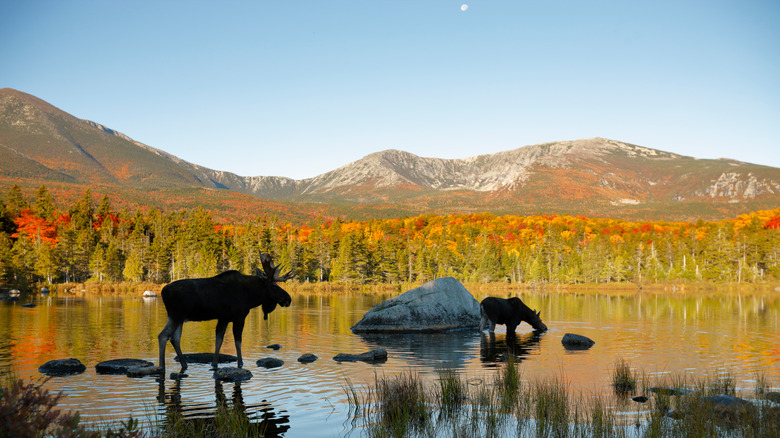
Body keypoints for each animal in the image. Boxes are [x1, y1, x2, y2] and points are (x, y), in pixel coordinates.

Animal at [158, 252, 296, 372]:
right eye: (273, 286)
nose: (288, 299)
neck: (251, 297)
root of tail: (163, 292)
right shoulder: (239, 317)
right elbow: (238, 342)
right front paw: (240, 363)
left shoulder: (223, 318)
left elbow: (219, 340)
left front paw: (214, 363)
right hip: (176, 315)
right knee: (163, 336)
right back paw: (162, 366)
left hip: (180, 318)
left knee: (175, 339)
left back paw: (184, 364)